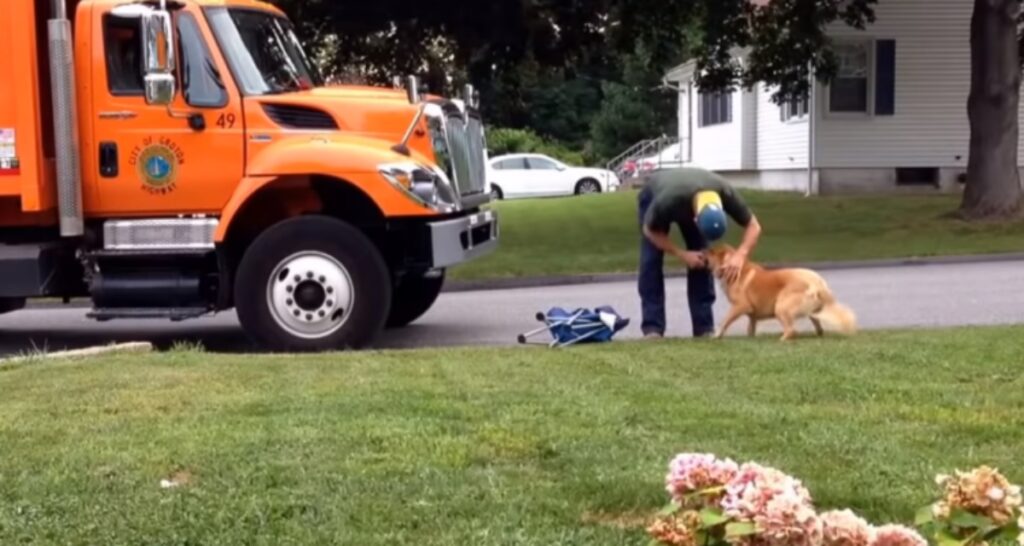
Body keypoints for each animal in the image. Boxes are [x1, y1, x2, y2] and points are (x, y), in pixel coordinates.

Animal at [704, 245, 856, 340]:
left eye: (712, 252)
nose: (703, 251)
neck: (736, 270)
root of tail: (817, 281)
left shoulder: (740, 306)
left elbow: (725, 321)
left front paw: (716, 335)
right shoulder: (752, 314)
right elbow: (751, 326)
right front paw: (751, 337)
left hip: (781, 307)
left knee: (792, 330)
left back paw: (781, 339)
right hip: (811, 310)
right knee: (818, 326)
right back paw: (817, 334)